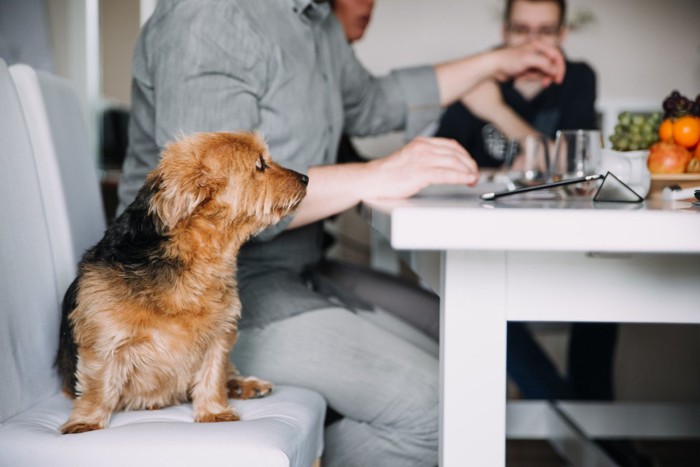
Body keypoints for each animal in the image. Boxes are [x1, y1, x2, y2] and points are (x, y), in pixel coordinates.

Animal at [54, 132, 306, 436]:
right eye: (260, 165)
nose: (306, 177)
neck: (199, 259)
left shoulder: (219, 334)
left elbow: (213, 374)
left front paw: (214, 412)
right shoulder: (105, 339)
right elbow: (97, 385)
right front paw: (86, 422)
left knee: (226, 374)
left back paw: (243, 385)